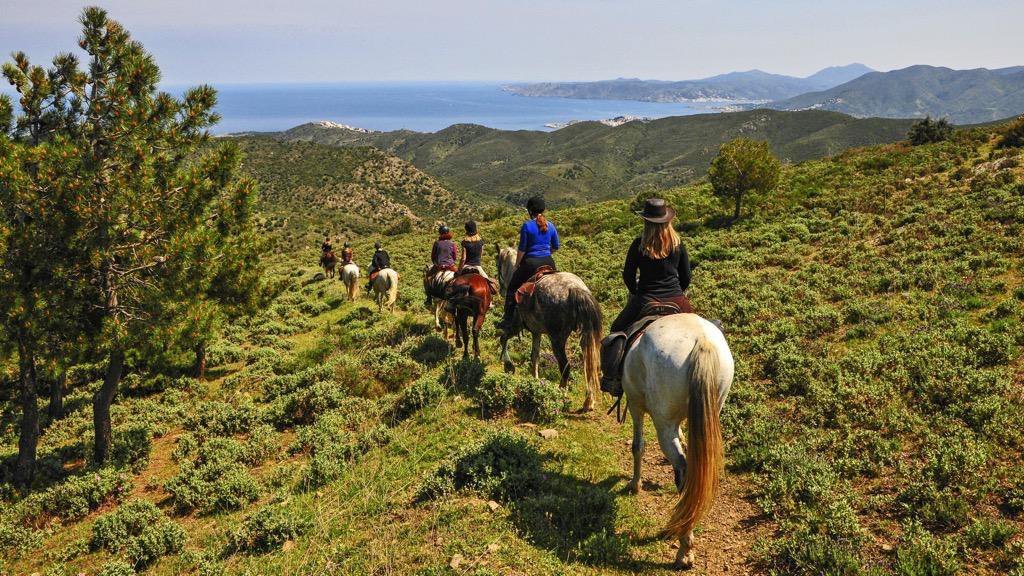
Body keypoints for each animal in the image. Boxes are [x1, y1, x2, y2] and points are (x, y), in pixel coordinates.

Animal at [499, 270, 602, 409]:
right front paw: (534, 382)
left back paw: (560, 396)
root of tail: (575, 289)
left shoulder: (516, 325)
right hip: (585, 336)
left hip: (557, 339)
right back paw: (588, 402)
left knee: (565, 366)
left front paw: (508, 365)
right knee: (589, 366)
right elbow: (534, 356)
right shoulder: (536, 332)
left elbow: (504, 338)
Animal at [618, 313, 733, 569]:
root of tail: (701, 341)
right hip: (713, 407)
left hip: (662, 424)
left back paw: (684, 549)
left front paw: (634, 485)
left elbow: (637, 447)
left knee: (683, 469)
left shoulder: (635, 404)